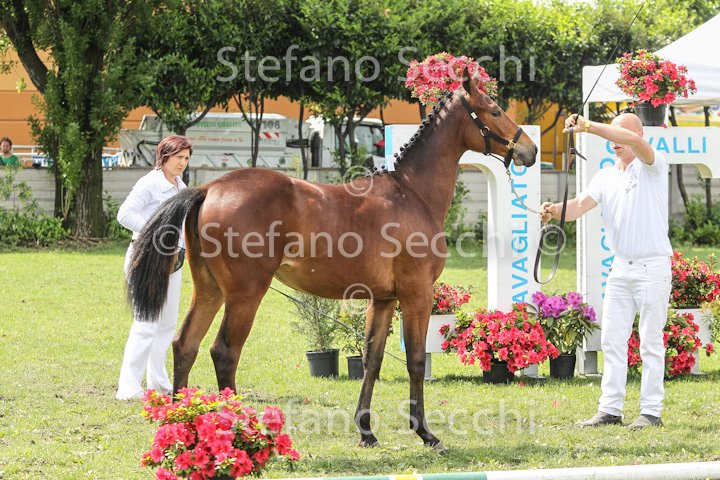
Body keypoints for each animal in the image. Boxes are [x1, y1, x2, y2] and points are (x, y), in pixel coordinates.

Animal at [127, 71, 537, 452]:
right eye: (495, 110)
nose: (529, 150)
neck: (412, 194)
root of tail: (210, 188)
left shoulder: (383, 299)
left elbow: (372, 358)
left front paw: (366, 431)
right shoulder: (416, 294)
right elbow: (417, 360)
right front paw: (425, 433)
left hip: (210, 290)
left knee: (185, 345)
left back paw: (183, 426)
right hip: (245, 295)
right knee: (224, 353)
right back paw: (239, 428)